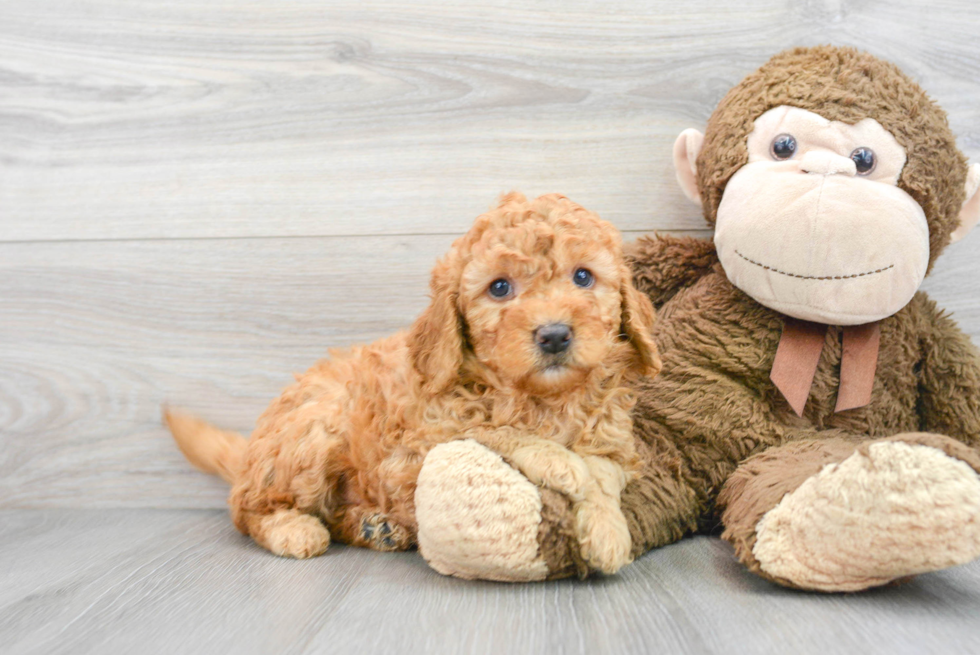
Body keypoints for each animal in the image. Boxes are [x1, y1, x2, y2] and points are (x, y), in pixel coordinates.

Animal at [167, 191, 660, 576]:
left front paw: (608, 531)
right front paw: (559, 461)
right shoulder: (427, 438)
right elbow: (497, 431)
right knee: (246, 509)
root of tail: (250, 453)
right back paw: (293, 528)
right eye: (500, 288)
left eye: (583, 276)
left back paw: (375, 526)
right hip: (312, 431)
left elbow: (604, 471)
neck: (543, 399)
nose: (554, 334)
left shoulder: (614, 441)